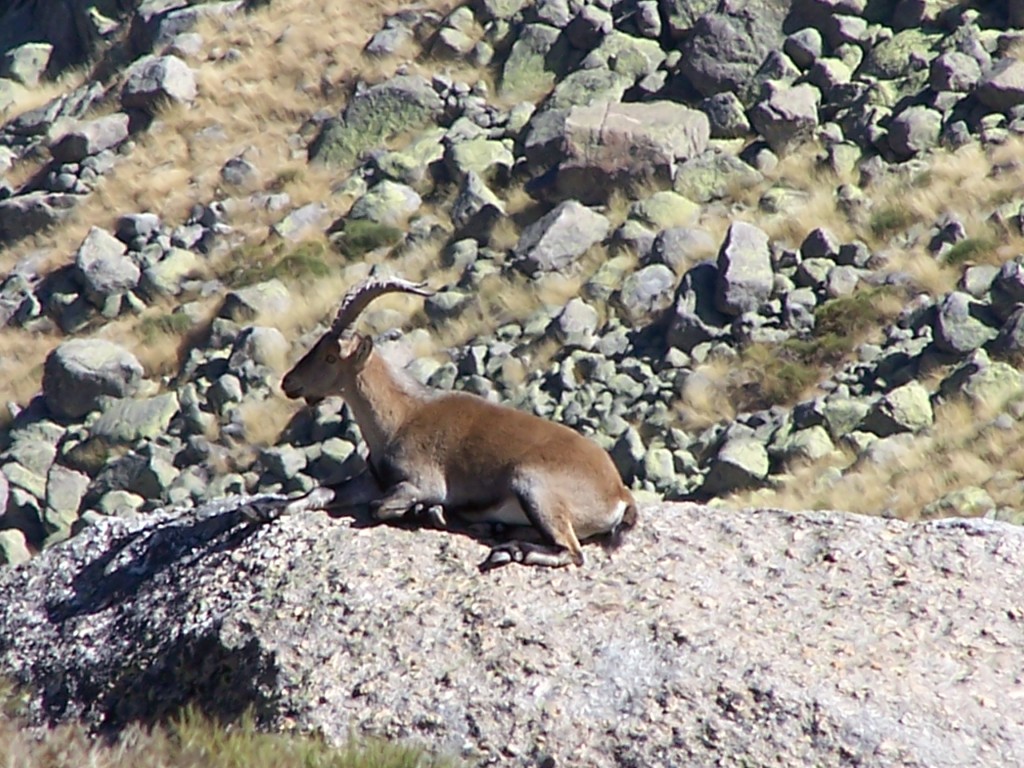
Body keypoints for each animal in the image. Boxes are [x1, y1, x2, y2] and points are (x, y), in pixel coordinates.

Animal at [279, 276, 637, 569]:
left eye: (330, 356)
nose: (288, 382)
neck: (400, 417)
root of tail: (619, 492)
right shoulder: (374, 479)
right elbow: (325, 490)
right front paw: (275, 509)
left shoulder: (422, 483)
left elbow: (379, 507)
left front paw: (425, 511)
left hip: (534, 486)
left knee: (571, 552)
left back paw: (505, 549)